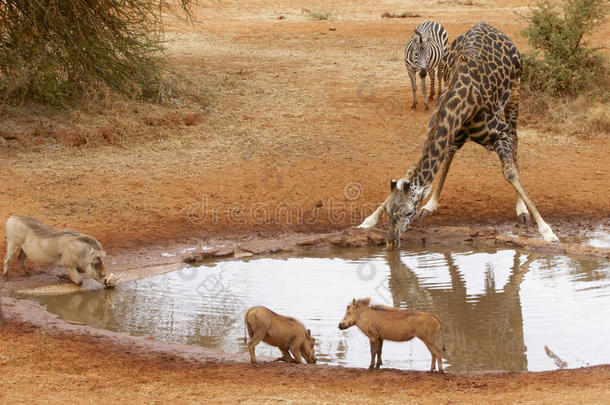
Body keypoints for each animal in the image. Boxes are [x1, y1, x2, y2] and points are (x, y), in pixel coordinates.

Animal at [356, 24, 556, 249]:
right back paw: (431, 205)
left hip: (515, 93)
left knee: (516, 138)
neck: (460, 103)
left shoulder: (500, 132)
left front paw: (547, 231)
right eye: (390, 212)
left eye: (408, 213)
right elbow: (413, 168)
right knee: (451, 153)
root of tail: (489, 26)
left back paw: (522, 210)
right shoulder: (445, 132)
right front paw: (368, 221)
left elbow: (510, 172)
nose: (391, 242)